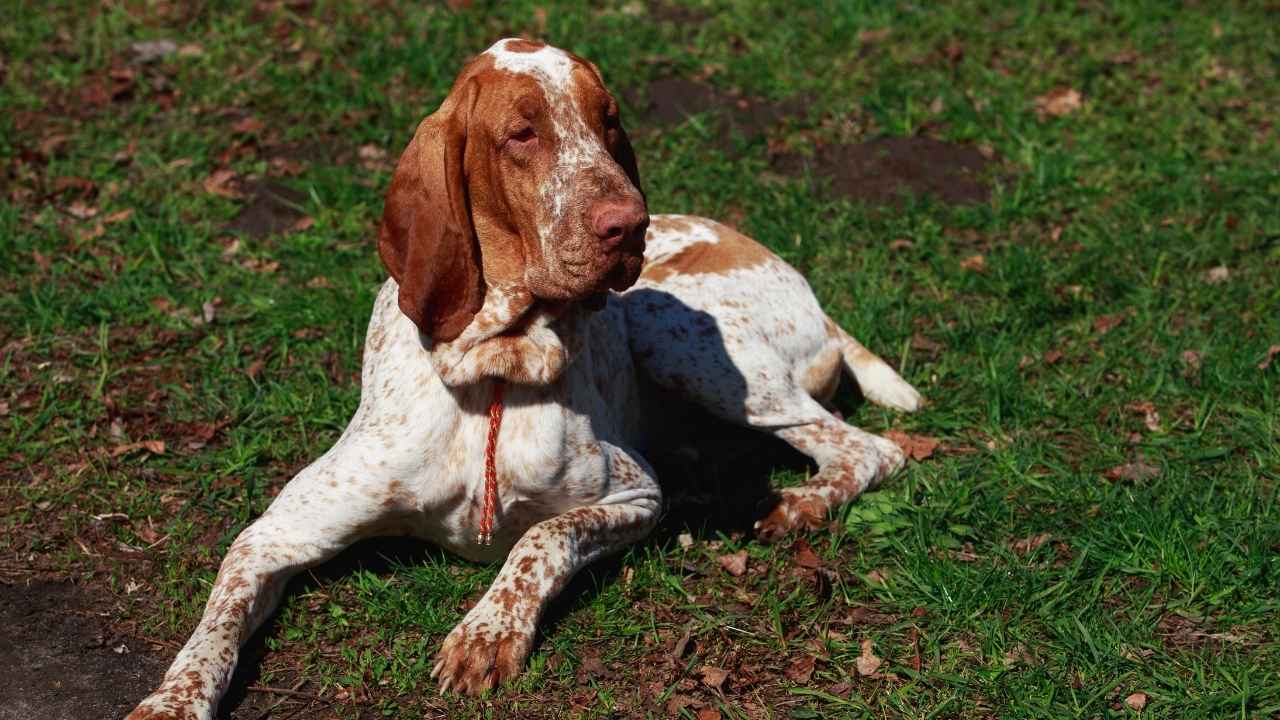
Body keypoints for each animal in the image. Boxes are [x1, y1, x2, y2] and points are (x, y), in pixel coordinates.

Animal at [129, 40, 921, 717]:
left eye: (609, 123)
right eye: (522, 135)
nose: (630, 224)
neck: (492, 370)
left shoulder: (635, 494)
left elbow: (540, 540)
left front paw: (486, 633)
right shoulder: (275, 533)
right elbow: (213, 628)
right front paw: (171, 701)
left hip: (683, 342)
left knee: (871, 448)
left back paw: (802, 504)